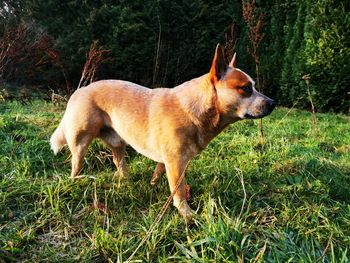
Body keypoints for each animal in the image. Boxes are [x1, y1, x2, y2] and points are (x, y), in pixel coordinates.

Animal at [50, 44, 276, 222]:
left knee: (118, 160)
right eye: (246, 88)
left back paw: (126, 179)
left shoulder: (172, 161)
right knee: (76, 163)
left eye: (254, 86)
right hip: (80, 142)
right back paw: (75, 182)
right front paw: (186, 213)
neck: (195, 109)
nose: (273, 102)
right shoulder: (175, 162)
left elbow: (160, 174)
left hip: (117, 141)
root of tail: (80, 91)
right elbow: (179, 191)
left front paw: (153, 186)